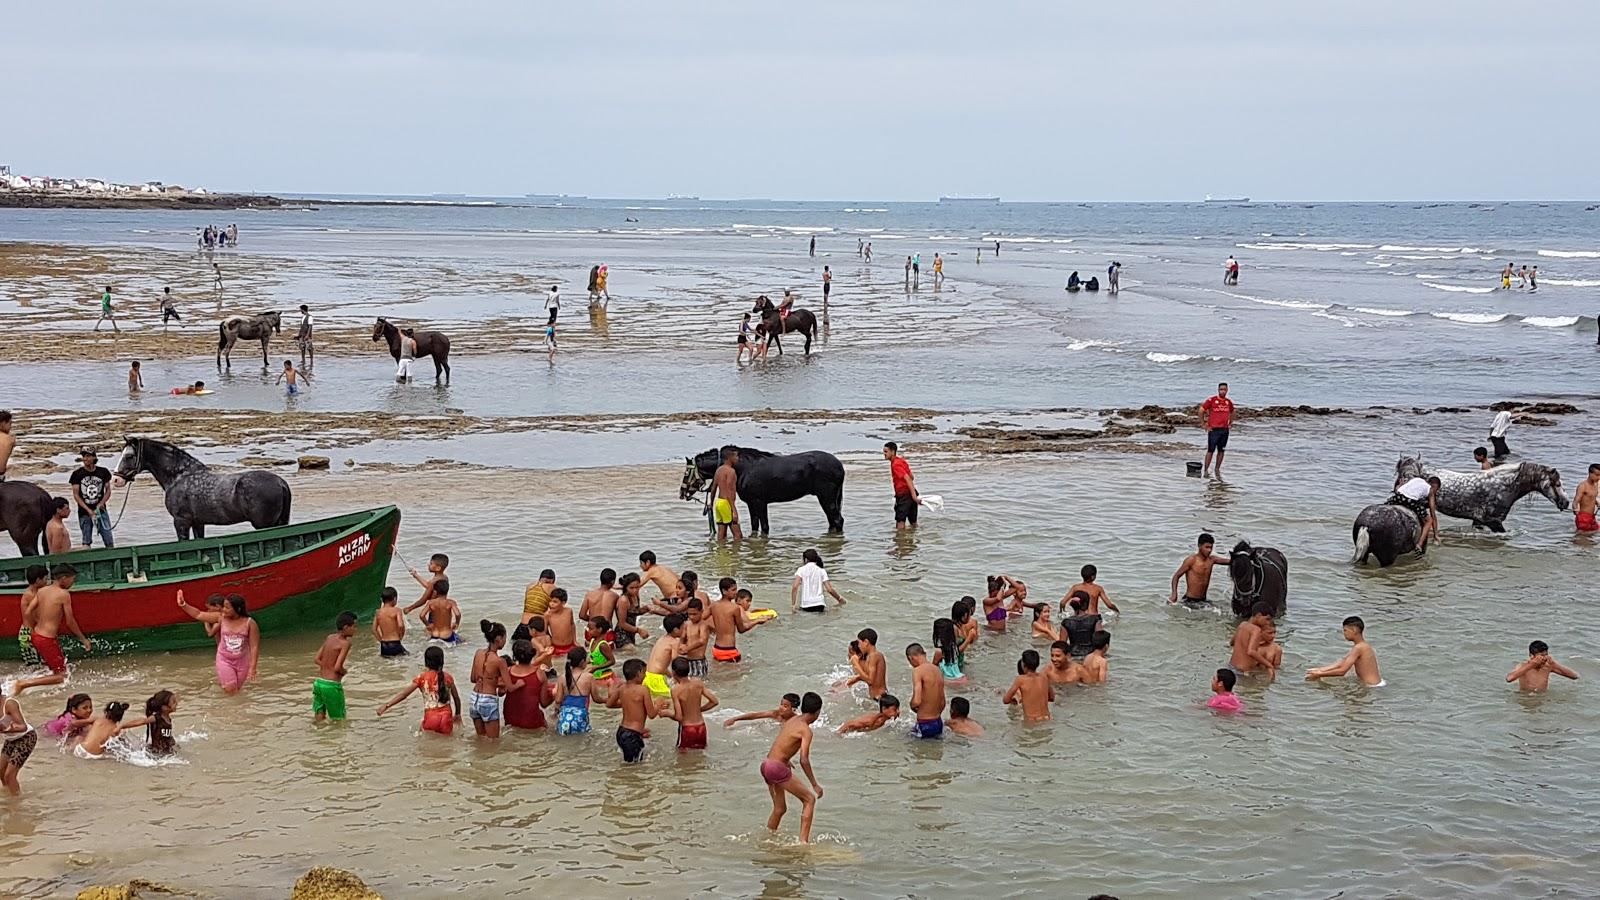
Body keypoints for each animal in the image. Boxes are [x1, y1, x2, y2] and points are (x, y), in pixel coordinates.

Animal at [111, 435, 292, 538]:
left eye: (129, 456)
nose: (116, 480)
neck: (180, 476)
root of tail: (280, 483)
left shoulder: (181, 522)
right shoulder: (197, 523)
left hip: (264, 525)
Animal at [678, 441, 851, 531]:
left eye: (686, 472)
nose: (682, 493)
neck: (743, 468)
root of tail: (839, 465)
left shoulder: (760, 502)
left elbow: (765, 527)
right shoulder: (751, 503)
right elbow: (756, 526)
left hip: (826, 498)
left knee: (837, 520)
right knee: (832, 521)